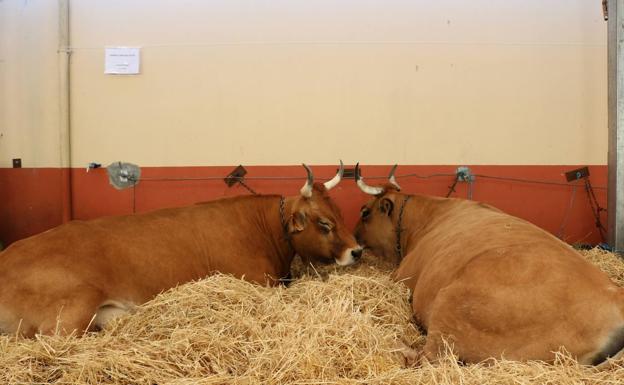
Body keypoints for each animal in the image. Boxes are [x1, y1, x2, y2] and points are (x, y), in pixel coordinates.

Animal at [0, 162, 360, 336]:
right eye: (324, 223)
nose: (357, 251)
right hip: (73, 307)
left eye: (340, 214)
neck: (264, 228)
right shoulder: (258, 281)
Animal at [354, 164, 624, 366]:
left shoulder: (403, 275)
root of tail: (614, 299)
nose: (355, 238)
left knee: (426, 357)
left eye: (365, 212)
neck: (423, 220)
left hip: (451, 309)